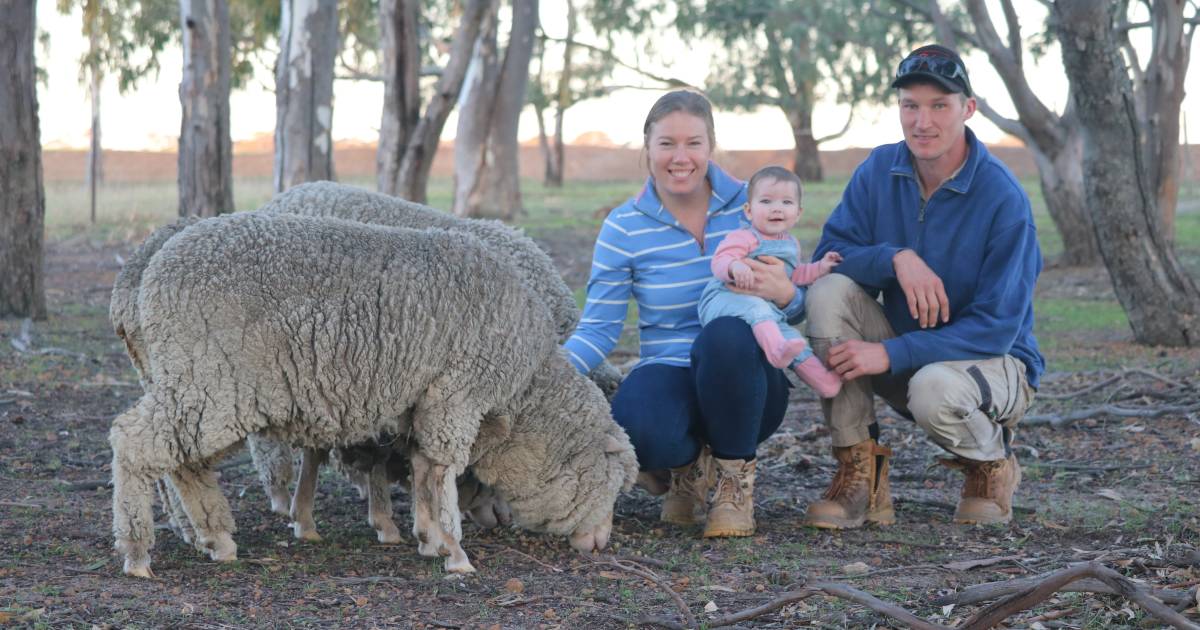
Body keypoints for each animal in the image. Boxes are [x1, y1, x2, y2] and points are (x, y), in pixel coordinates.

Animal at [111, 213, 638, 578]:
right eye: (611, 486)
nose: (601, 544)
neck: (526, 386)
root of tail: (152, 266)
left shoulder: (423, 403)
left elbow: (424, 468)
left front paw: (428, 536)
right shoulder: (457, 394)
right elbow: (444, 471)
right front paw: (456, 551)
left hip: (198, 386)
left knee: (185, 462)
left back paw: (215, 537)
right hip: (208, 379)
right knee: (134, 444)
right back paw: (138, 553)